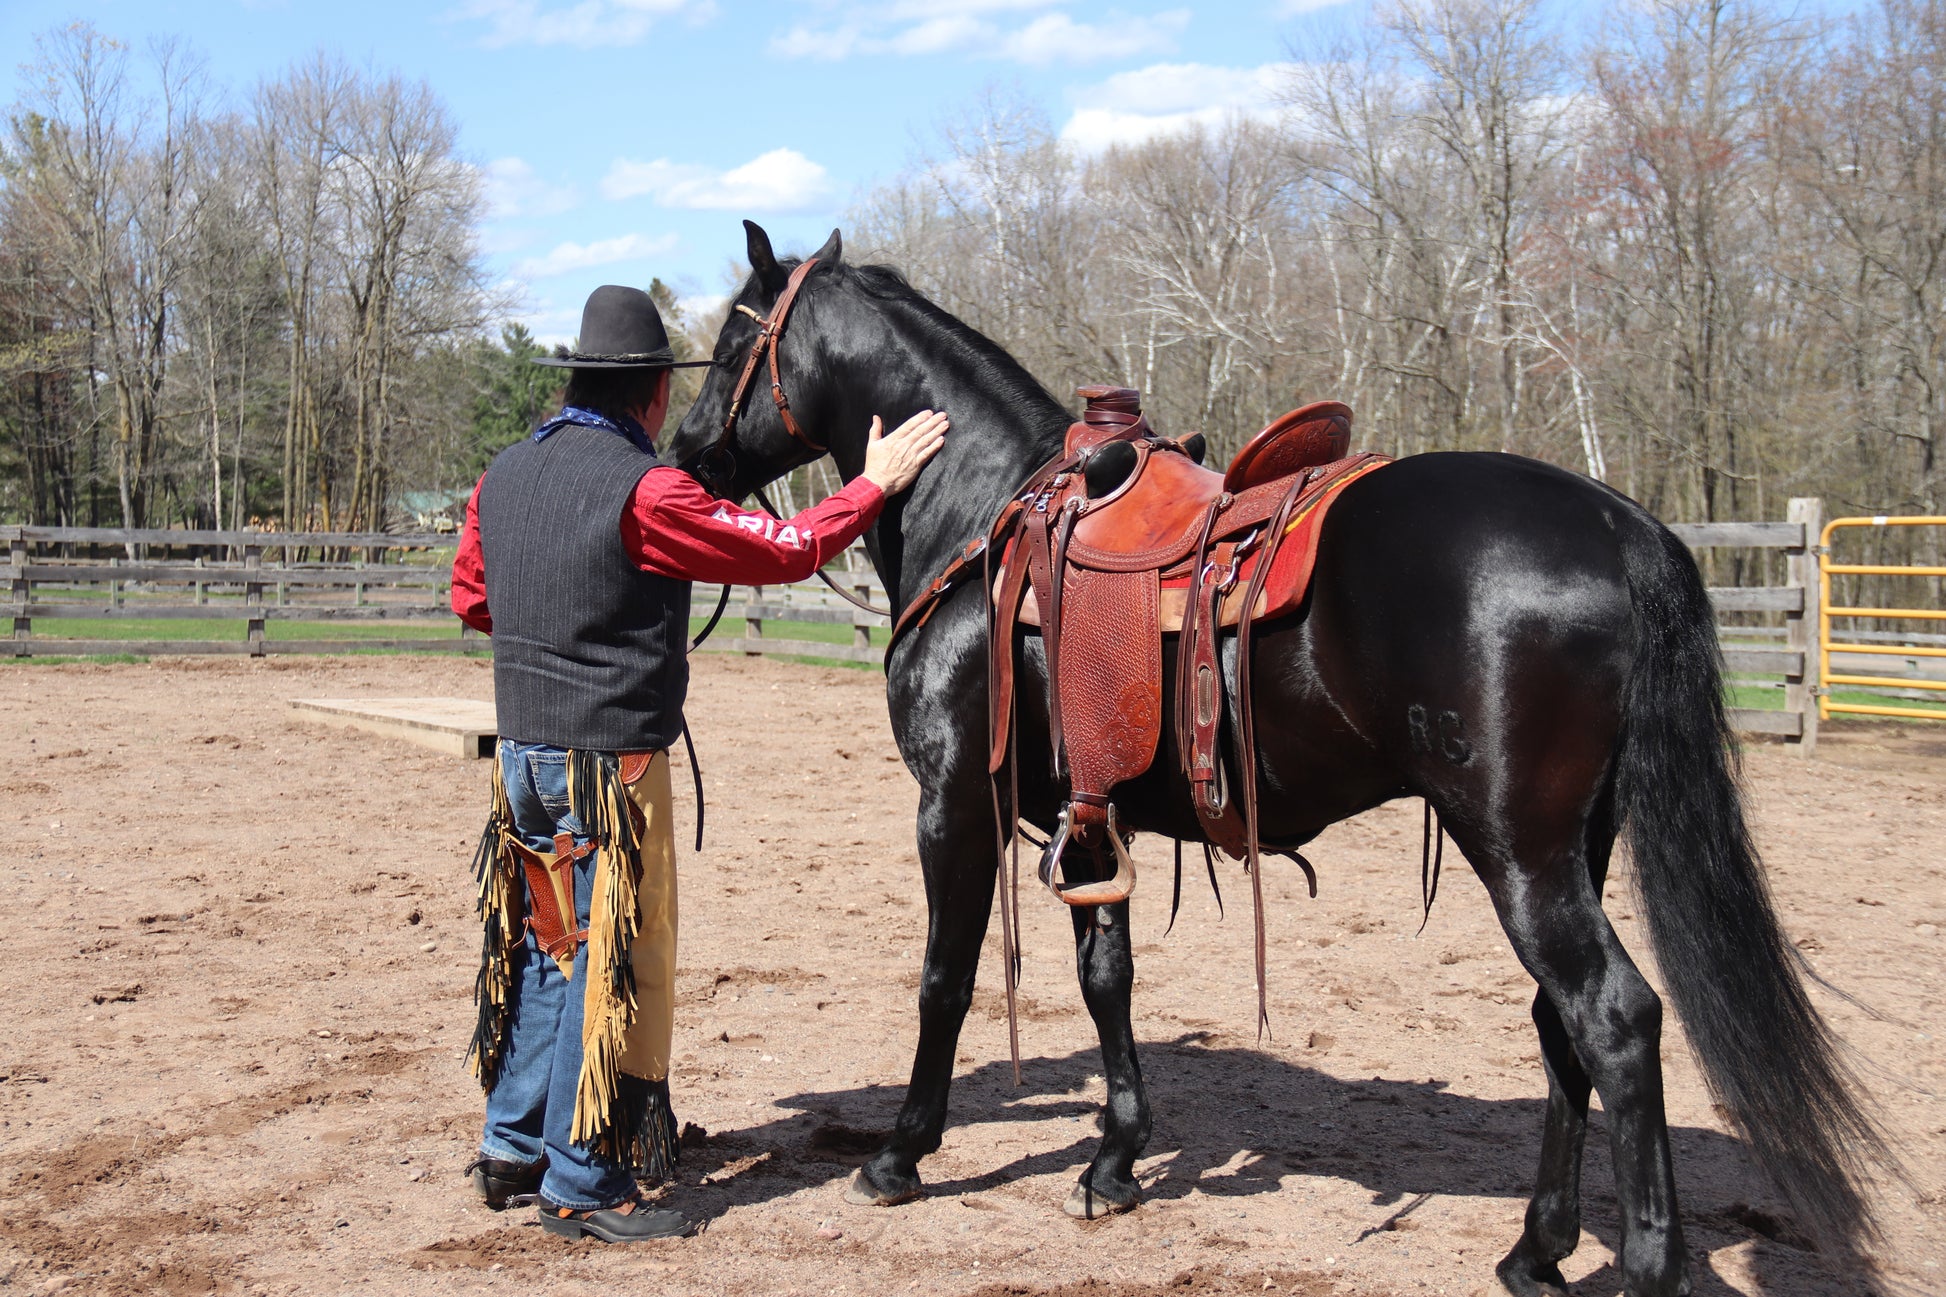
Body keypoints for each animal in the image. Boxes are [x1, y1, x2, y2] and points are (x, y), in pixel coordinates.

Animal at [665, 222, 1883, 1293]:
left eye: (730, 343)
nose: (683, 451)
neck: (981, 510)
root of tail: (1618, 524)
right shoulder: (1089, 815)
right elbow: (1106, 977)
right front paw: (1114, 1162)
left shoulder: (954, 803)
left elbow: (944, 977)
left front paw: (899, 1154)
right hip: (1573, 846)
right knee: (1558, 1027)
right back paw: (1533, 1251)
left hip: (1520, 852)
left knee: (1614, 1019)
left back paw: (1633, 1264)